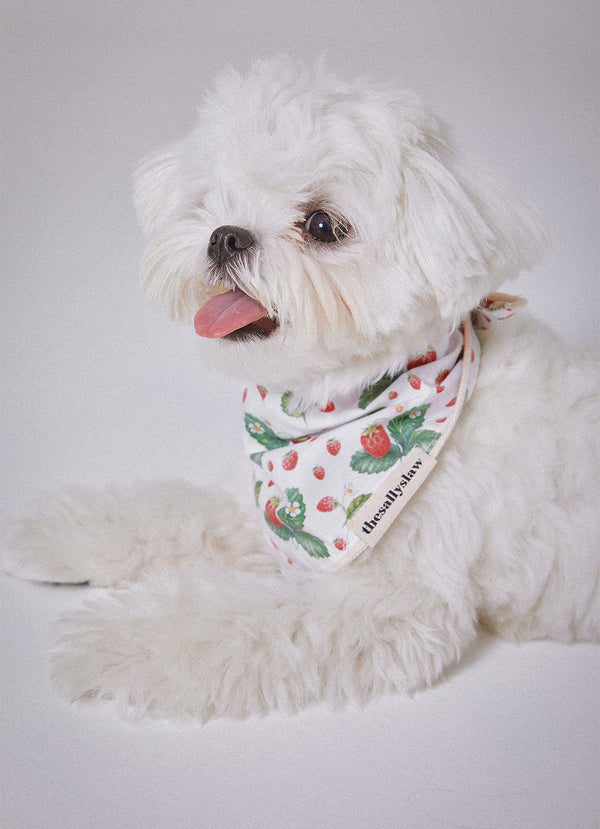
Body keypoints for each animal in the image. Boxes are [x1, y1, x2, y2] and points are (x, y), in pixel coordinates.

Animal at [5, 56, 600, 720]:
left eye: (321, 224)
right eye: (213, 199)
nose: (225, 234)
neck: (347, 403)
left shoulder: (389, 600)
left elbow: (227, 621)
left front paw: (110, 639)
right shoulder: (258, 511)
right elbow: (177, 513)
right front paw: (67, 532)